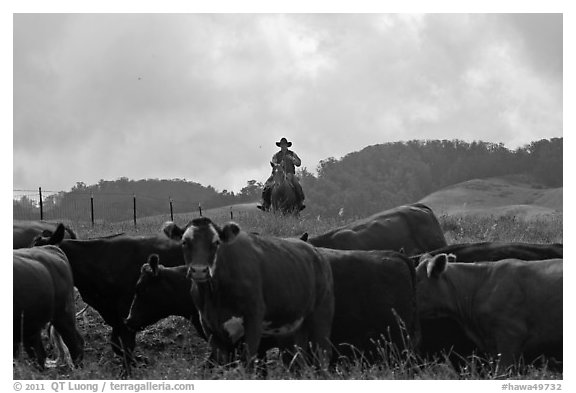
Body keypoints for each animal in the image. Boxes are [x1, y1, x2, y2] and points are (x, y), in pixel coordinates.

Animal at [162, 217, 332, 364]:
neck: (214, 295)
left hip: (321, 316)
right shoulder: (209, 326)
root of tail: (314, 250)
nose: (199, 270)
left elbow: (248, 362)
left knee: (322, 354)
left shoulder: (253, 320)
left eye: (216, 242)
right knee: (301, 356)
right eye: (184, 242)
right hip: (297, 324)